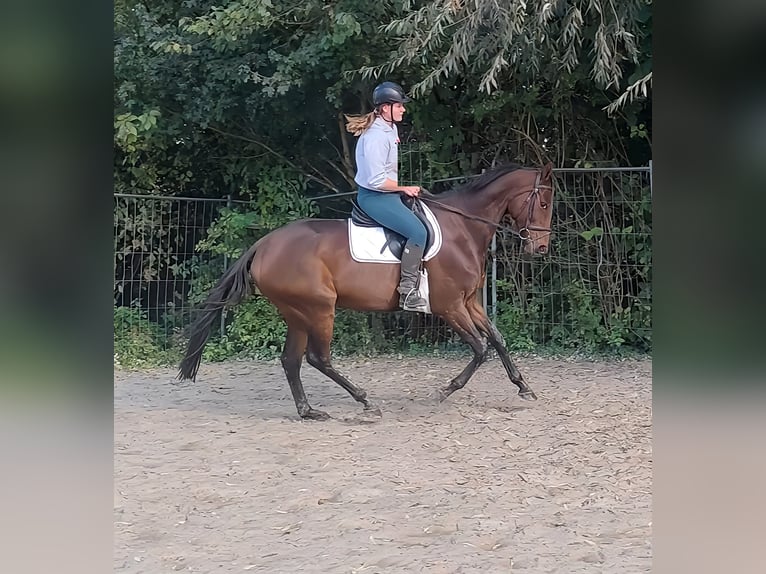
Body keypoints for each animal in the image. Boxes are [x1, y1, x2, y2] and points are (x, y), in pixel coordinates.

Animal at [183, 164, 560, 420]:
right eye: (543, 202)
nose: (540, 249)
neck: (462, 228)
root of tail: (263, 245)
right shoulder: (450, 306)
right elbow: (481, 349)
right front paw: (445, 390)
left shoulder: (470, 302)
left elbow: (497, 339)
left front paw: (524, 387)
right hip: (319, 309)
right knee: (318, 358)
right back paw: (364, 400)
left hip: (297, 314)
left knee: (292, 360)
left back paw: (310, 411)